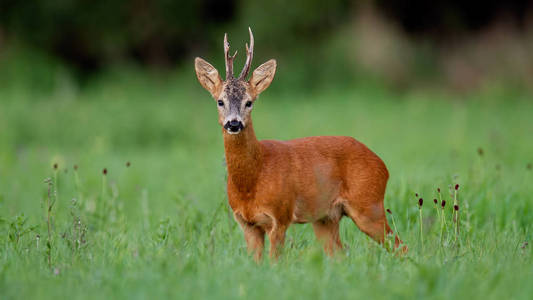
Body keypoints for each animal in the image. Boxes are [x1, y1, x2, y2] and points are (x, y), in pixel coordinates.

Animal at [195, 28, 404, 262]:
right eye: (220, 101)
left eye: (249, 102)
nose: (233, 123)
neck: (253, 180)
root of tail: (383, 165)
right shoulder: (246, 223)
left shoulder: (281, 215)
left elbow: (275, 261)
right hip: (326, 217)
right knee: (339, 254)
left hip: (368, 205)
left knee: (399, 245)